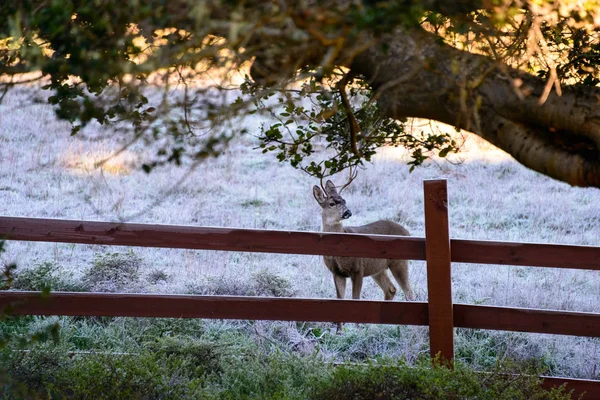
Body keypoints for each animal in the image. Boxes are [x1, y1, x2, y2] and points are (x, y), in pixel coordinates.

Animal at [314, 181, 412, 332]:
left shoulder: (357, 268)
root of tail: (407, 231)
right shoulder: (337, 272)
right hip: (378, 269)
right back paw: (381, 326)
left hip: (399, 262)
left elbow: (356, 299)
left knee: (408, 292)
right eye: (331, 203)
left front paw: (357, 330)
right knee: (391, 289)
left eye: (344, 200)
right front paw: (339, 331)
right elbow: (339, 299)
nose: (348, 212)